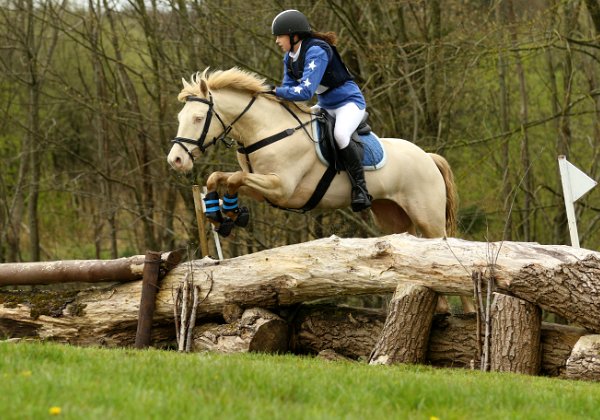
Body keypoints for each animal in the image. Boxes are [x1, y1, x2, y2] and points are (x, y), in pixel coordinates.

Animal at [167, 67, 471, 312]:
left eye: (198, 118)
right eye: (180, 116)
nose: (176, 160)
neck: (269, 130)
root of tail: (428, 157)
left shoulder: (281, 187)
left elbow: (234, 179)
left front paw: (229, 214)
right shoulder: (263, 187)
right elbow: (219, 178)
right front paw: (221, 214)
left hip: (428, 219)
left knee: (446, 253)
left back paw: (467, 312)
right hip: (393, 218)